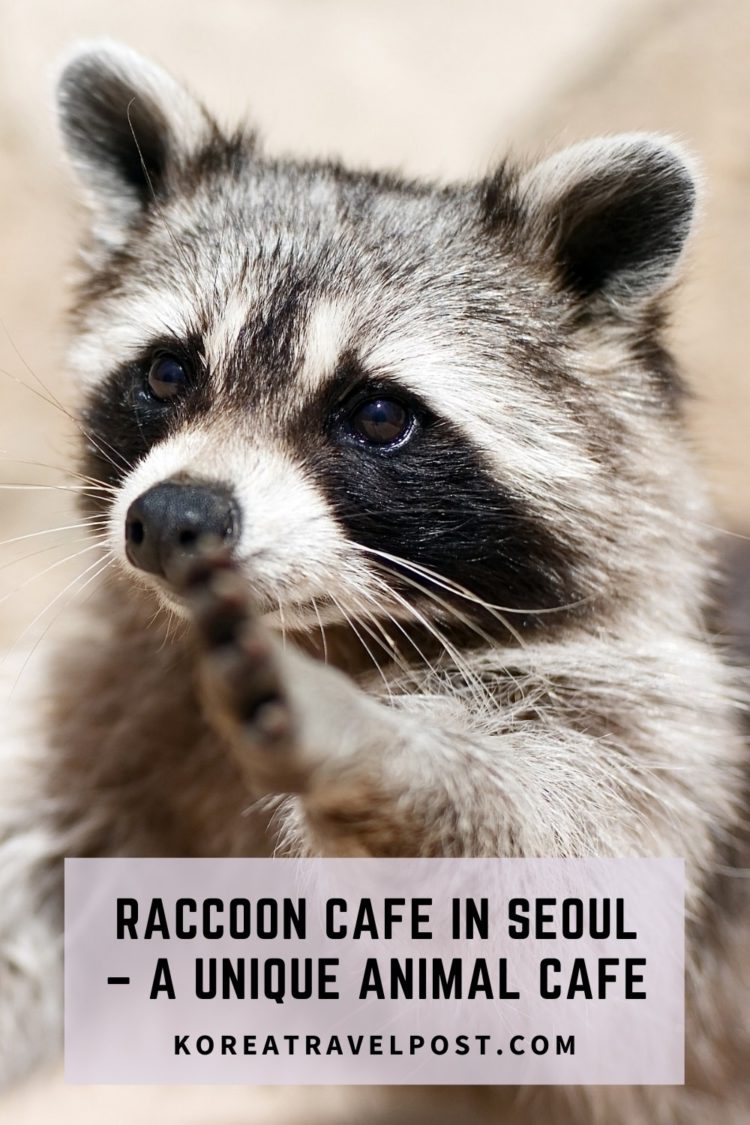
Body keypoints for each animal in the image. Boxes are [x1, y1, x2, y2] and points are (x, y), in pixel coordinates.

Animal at [0, 39, 748, 1124]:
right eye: (170, 372)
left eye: (379, 414)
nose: (176, 518)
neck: (329, 627)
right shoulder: (110, 704)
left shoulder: (662, 713)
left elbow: (563, 868)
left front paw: (379, 745)